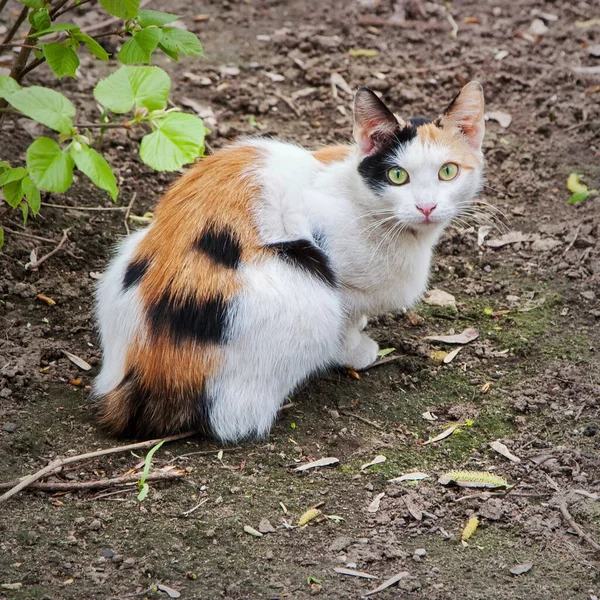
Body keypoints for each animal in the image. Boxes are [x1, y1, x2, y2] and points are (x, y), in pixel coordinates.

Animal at [95, 82, 488, 442]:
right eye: (397, 176)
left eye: (448, 171)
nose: (426, 207)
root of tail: (144, 375)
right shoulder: (336, 277)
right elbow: (347, 321)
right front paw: (355, 350)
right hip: (308, 295)